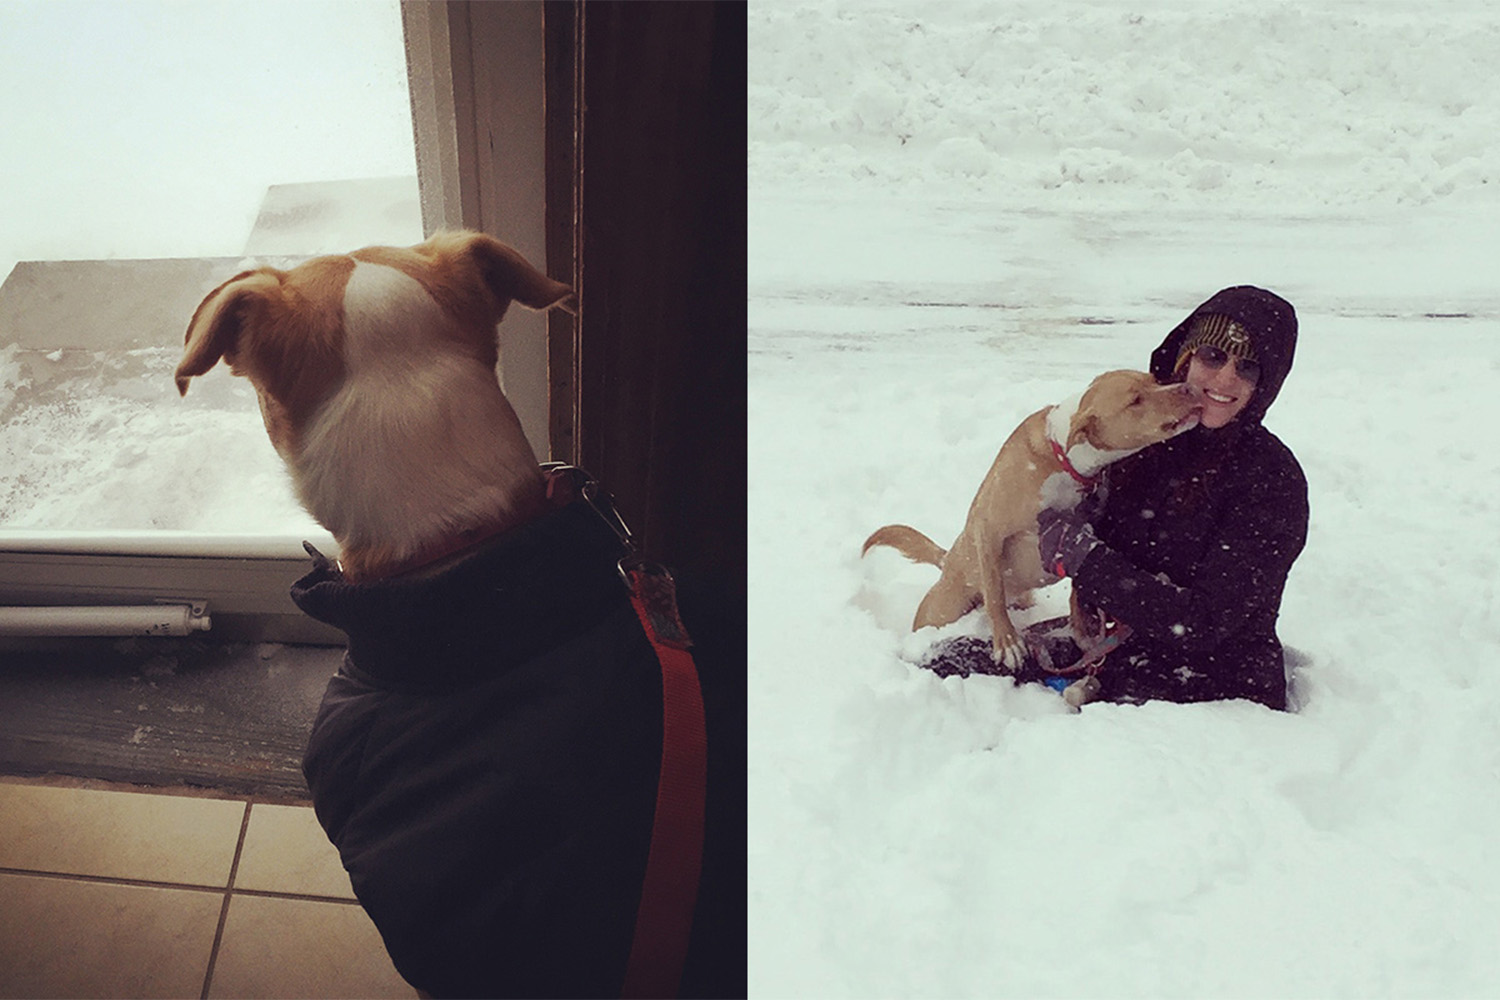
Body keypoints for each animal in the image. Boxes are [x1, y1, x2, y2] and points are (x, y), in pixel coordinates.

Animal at [864, 371, 1200, 668]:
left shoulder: (1085, 534)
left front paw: (1082, 631)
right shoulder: (988, 527)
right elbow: (994, 592)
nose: (1189, 388)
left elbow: (1080, 582)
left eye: (1155, 380)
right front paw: (1007, 643)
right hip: (941, 611)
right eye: (1135, 400)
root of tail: (947, 561)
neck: (1063, 459)